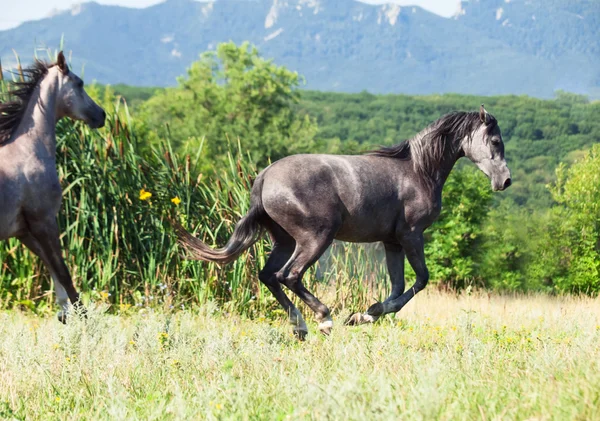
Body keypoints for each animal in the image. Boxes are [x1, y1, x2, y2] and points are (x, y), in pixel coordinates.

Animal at [0, 53, 105, 322]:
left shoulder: (23, 230)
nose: (101, 115)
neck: (29, 151)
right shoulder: (44, 222)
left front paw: (64, 311)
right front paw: (82, 317)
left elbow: (51, 265)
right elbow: (63, 270)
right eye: (79, 83)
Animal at [173, 105, 510, 338]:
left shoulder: (392, 241)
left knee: (268, 276)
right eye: (495, 141)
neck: (418, 171)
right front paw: (364, 314)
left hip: (285, 241)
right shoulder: (412, 235)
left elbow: (398, 285)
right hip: (316, 238)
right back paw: (324, 319)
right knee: (289, 276)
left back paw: (300, 327)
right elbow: (420, 280)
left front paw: (365, 315)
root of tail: (265, 177)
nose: (505, 181)